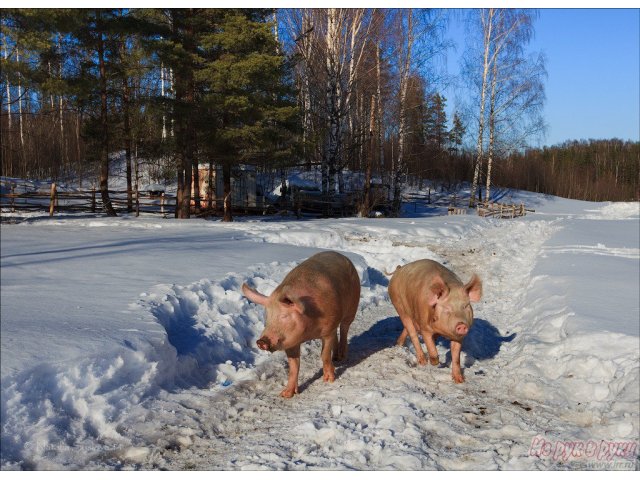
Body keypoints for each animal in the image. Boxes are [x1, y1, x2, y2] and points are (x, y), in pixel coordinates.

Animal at [241, 251, 360, 398]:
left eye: (284, 316)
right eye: (267, 316)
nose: (261, 341)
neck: (309, 331)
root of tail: (341, 255)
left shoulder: (327, 330)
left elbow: (324, 355)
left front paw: (329, 380)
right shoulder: (290, 342)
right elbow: (294, 366)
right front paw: (286, 394)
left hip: (352, 306)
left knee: (344, 329)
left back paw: (342, 357)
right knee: (337, 335)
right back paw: (336, 358)